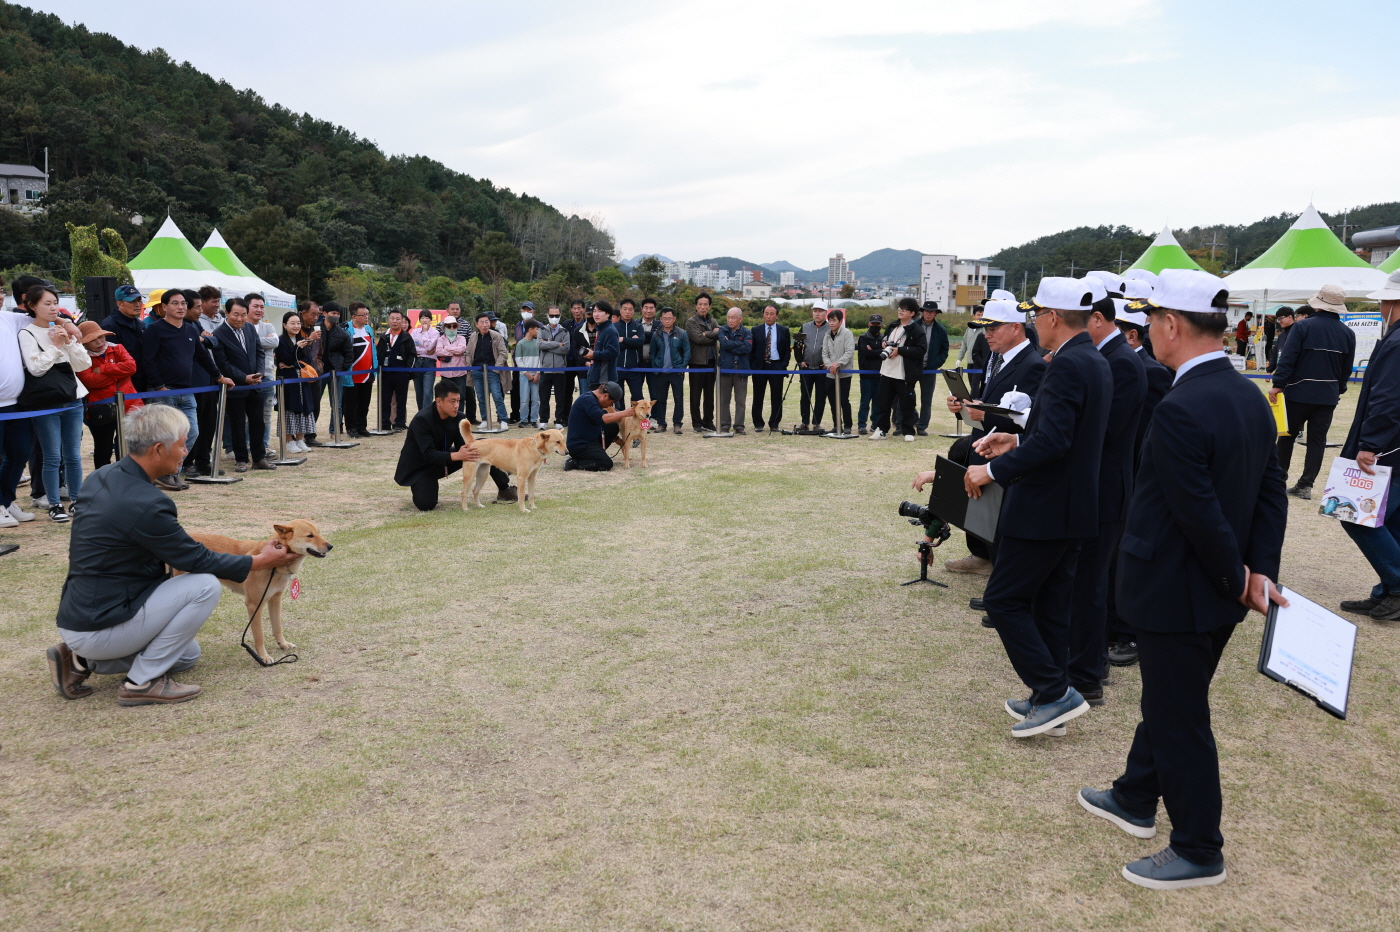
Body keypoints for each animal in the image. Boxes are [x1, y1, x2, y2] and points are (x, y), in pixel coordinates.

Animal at [176, 517, 331, 663]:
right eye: (310, 536)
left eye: (319, 533)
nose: (331, 546)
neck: (274, 566)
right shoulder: (254, 605)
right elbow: (259, 636)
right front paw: (263, 657)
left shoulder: (275, 599)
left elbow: (277, 627)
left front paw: (283, 644)